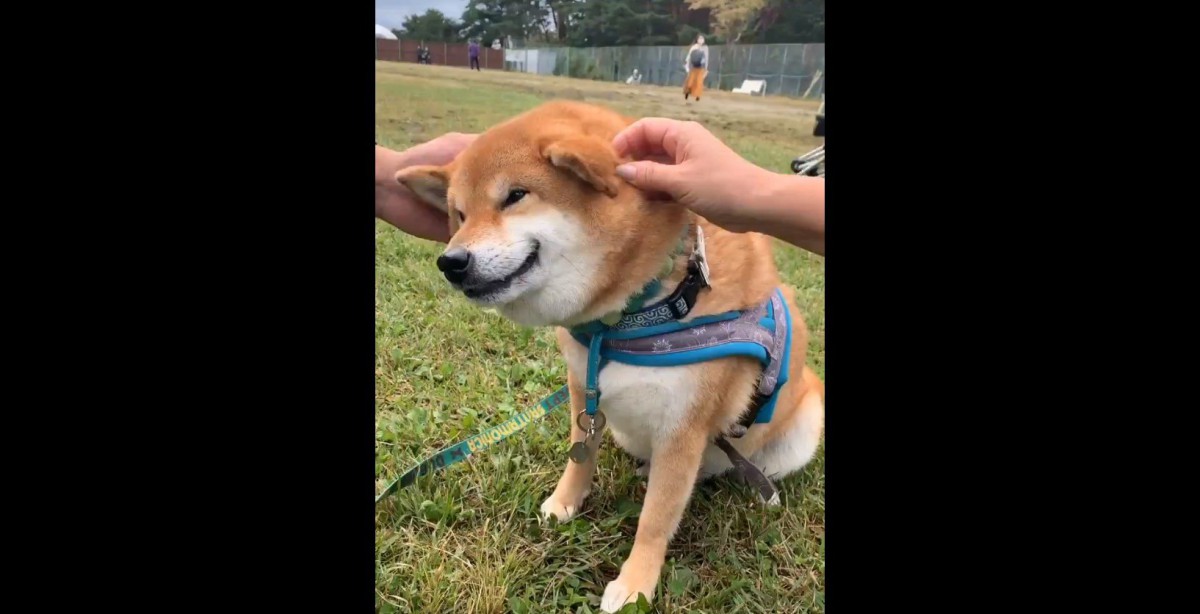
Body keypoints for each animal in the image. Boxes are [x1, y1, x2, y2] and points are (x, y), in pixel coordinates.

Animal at [398, 99, 820, 609]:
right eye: (458, 214)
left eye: (516, 195)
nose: (451, 262)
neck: (627, 318)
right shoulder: (585, 390)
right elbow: (579, 459)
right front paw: (564, 504)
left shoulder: (683, 427)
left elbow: (655, 519)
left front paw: (636, 585)